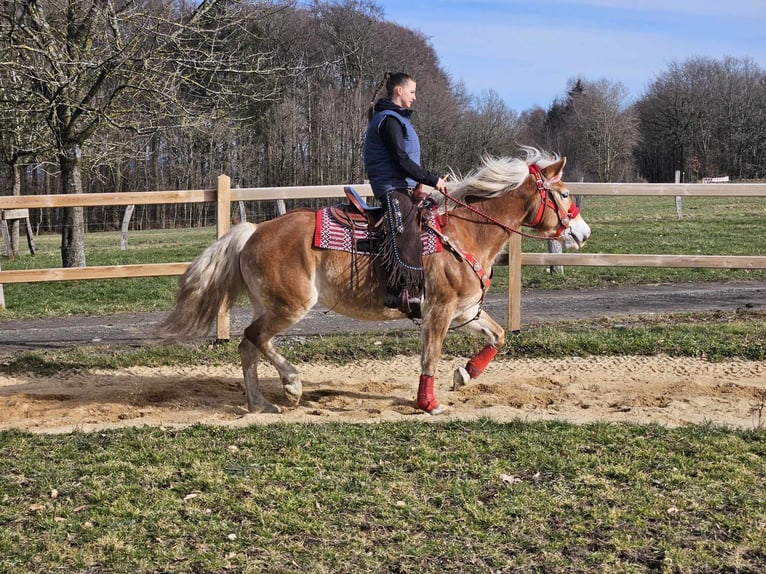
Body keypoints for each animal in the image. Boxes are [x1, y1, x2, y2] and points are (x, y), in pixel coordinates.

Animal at [164, 147, 592, 418]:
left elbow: (498, 336)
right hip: (288, 307)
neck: (465, 232)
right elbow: (430, 356)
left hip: (269, 306)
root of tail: (253, 232)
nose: (583, 233)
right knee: (254, 339)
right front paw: (428, 403)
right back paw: (291, 385)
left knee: (249, 347)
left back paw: (260, 404)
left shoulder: (466, 311)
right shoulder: (438, 311)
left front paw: (465, 374)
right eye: (563, 193)